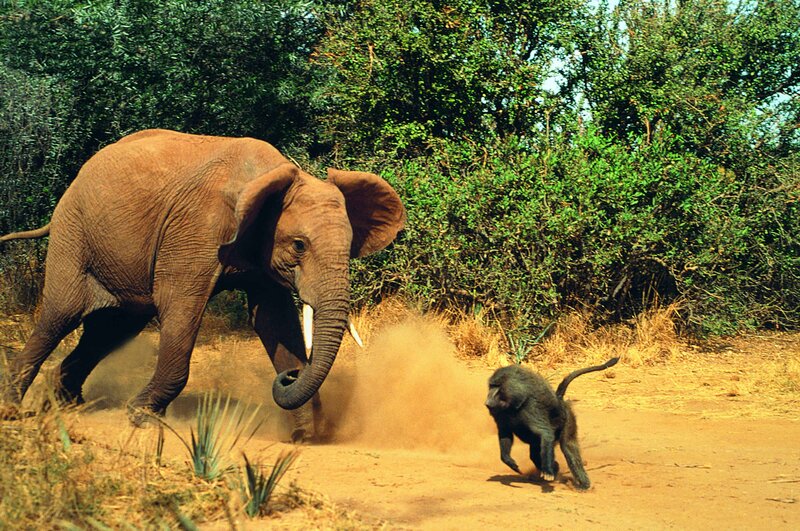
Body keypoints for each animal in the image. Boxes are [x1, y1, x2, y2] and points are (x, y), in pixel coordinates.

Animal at [0, 129, 405, 439]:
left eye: (350, 247)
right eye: (299, 245)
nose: (291, 376)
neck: (267, 176)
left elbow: (273, 320)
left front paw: (304, 434)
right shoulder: (197, 230)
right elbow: (181, 306)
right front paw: (141, 416)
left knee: (112, 330)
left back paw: (67, 404)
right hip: (74, 233)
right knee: (60, 316)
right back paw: (14, 407)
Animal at [485, 357, 619, 490]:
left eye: (497, 387)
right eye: (491, 386)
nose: (488, 401)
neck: (513, 406)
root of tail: (559, 399)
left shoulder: (530, 408)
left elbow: (546, 433)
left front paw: (548, 472)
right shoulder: (500, 413)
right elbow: (505, 433)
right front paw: (509, 461)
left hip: (567, 419)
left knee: (567, 447)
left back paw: (582, 484)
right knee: (535, 454)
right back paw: (555, 468)